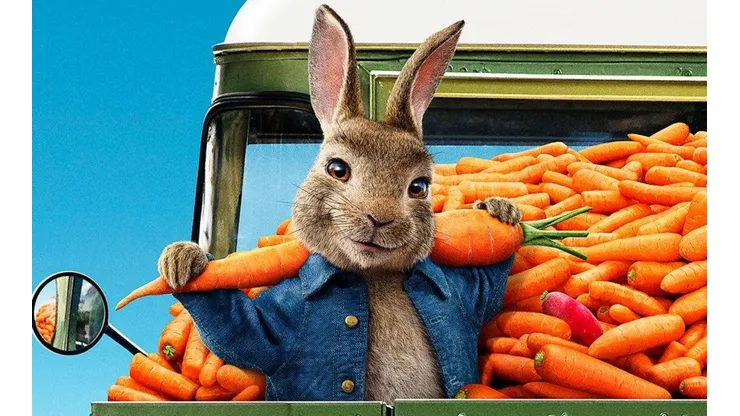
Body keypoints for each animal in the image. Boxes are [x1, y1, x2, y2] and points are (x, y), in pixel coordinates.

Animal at [159, 4, 520, 404]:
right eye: (337, 169)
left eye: (419, 187)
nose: (380, 218)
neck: (374, 276)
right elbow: (243, 333)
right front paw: (182, 260)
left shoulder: (463, 295)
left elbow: (487, 287)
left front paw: (500, 210)